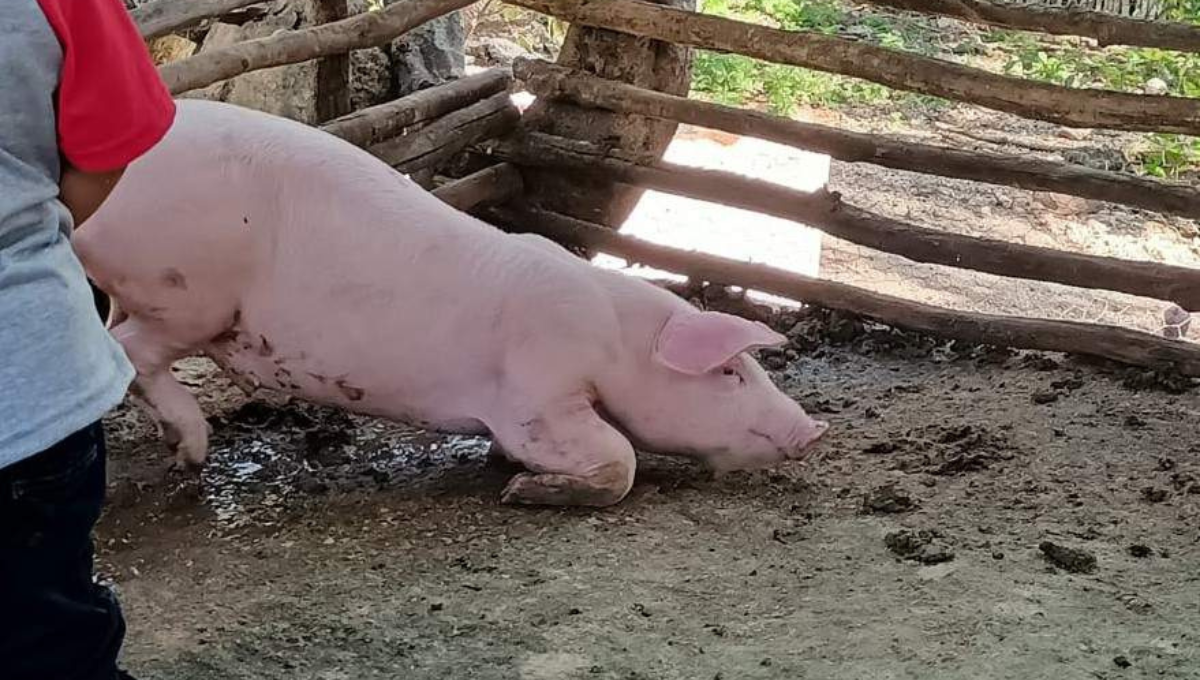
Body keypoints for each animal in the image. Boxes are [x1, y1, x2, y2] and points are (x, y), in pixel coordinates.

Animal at [72, 99, 825, 506]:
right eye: (731, 372)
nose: (813, 430)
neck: (615, 338)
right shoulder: (535, 390)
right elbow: (618, 456)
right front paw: (521, 490)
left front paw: (511, 475)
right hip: (188, 293)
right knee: (128, 354)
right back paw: (194, 453)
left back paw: (176, 453)